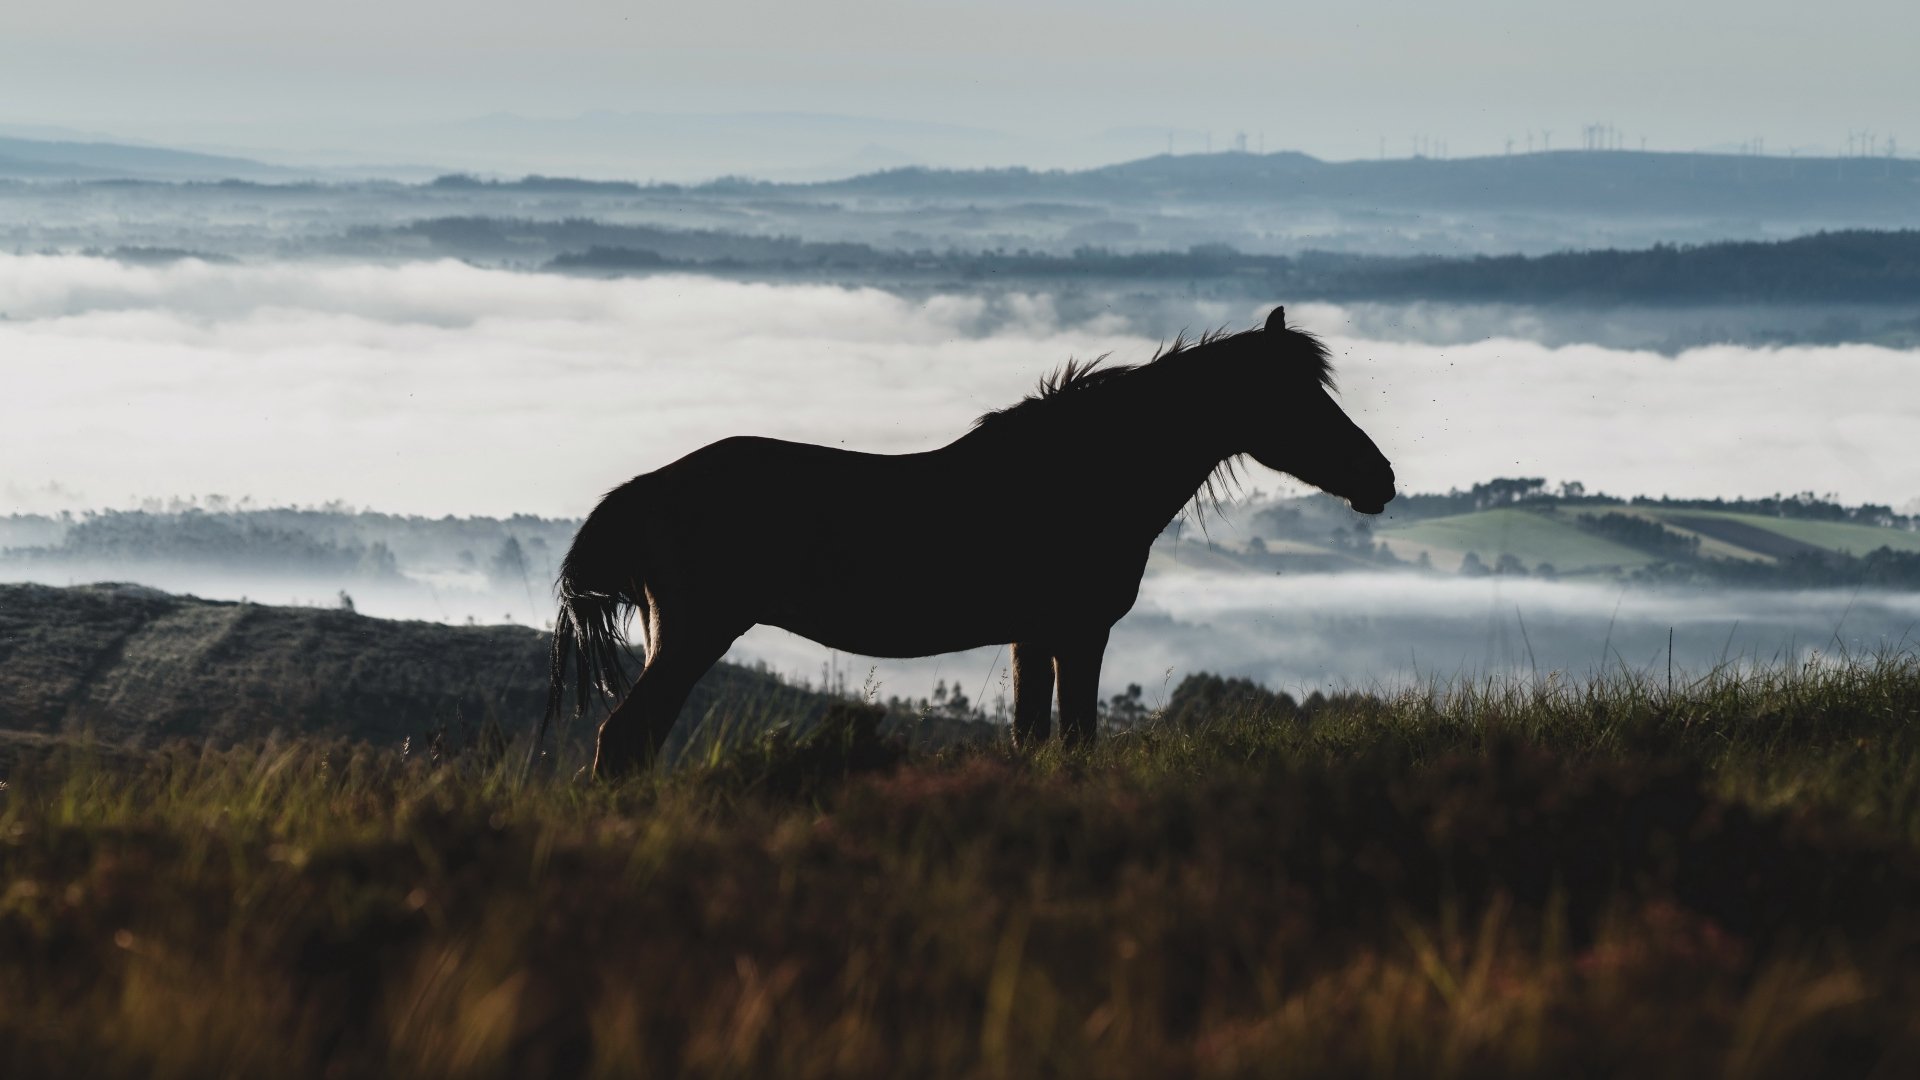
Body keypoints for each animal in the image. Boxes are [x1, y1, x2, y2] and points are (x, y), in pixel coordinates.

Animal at [541, 305, 1395, 777]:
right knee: (624, 742)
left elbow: (1031, 739)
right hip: (693, 637)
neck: (1084, 473)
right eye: (1300, 398)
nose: (1379, 478)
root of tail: (643, 490)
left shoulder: (1032, 638)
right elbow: (1074, 742)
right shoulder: (1078, 634)